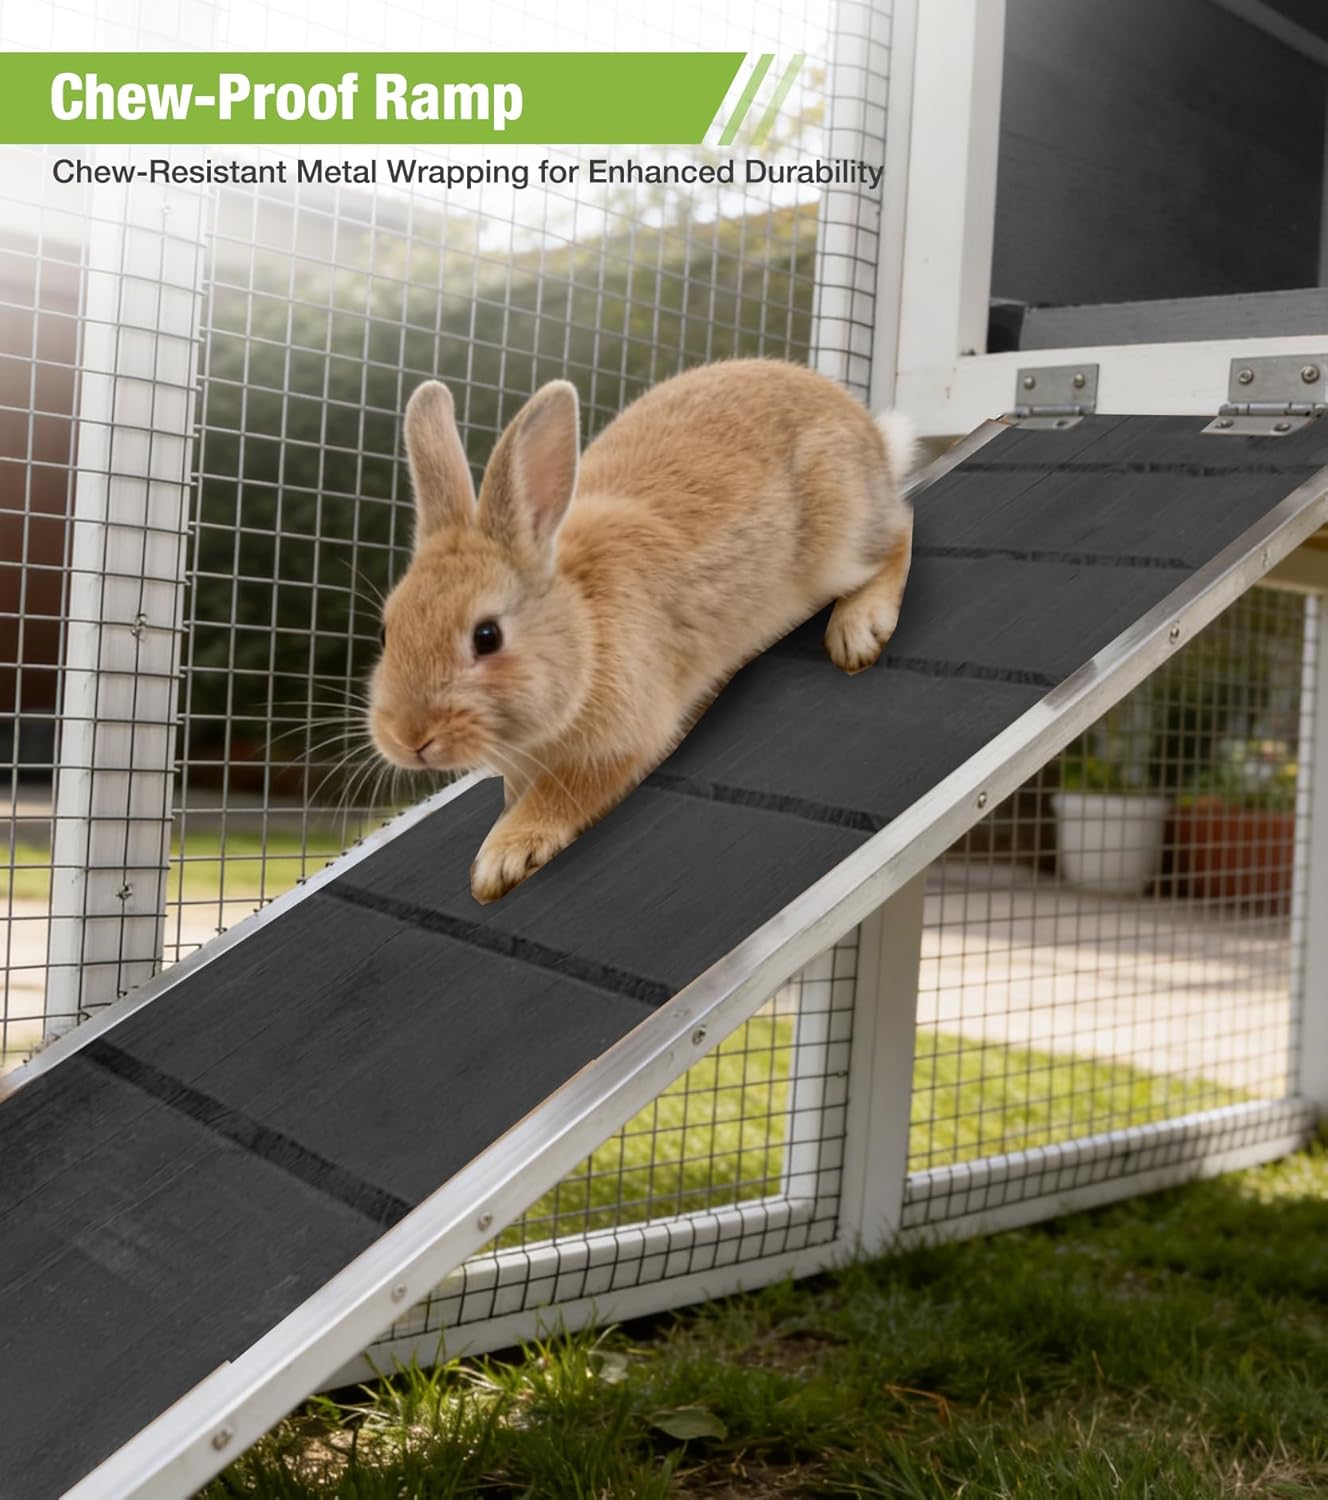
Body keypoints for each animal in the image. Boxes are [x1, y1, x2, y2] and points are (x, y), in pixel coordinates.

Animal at [370, 358, 916, 903]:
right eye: (386, 633)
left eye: (487, 637)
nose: (409, 738)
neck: (584, 630)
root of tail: (866, 430)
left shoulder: (620, 740)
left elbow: (562, 797)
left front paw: (501, 859)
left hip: (839, 541)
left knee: (901, 531)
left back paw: (858, 630)